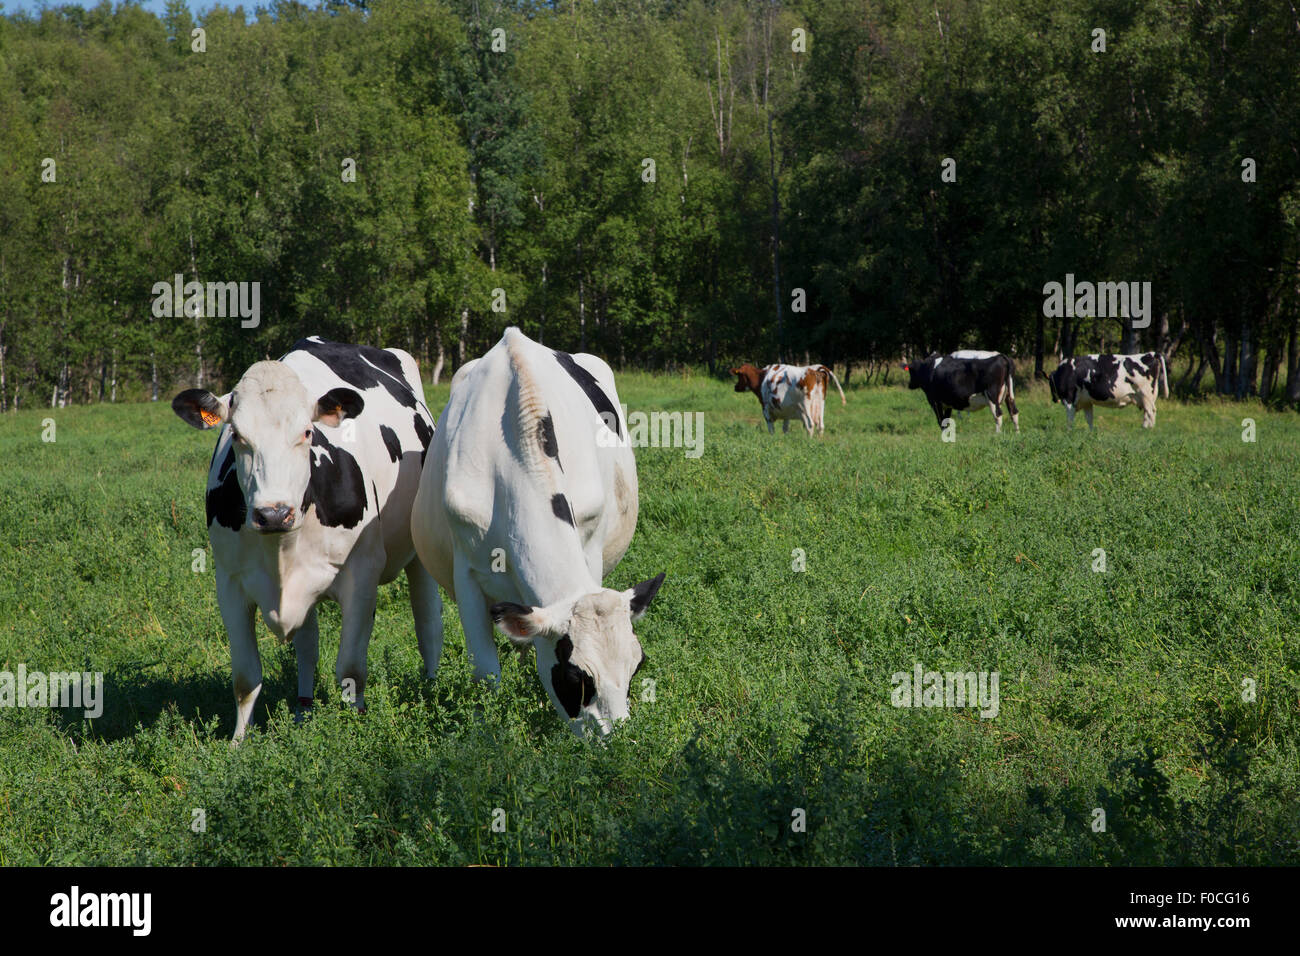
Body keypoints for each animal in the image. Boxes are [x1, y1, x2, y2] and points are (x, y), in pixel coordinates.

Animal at [171, 337, 442, 740]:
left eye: (306, 433)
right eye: (237, 435)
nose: (273, 513)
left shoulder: (362, 575)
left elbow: (350, 669)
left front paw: (354, 730)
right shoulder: (230, 582)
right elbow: (245, 677)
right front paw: (238, 743)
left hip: (420, 551)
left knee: (428, 626)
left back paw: (431, 687)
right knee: (308, 645)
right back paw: (303, 709)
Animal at [411, 327, 665, 737]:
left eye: (636, 666)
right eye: (576, 678)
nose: (620, 742)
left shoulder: (590, 549)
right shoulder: (465, 573)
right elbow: (486, 673)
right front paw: (485, 729)